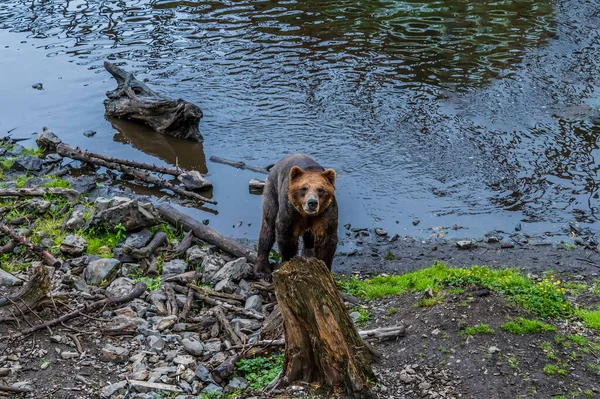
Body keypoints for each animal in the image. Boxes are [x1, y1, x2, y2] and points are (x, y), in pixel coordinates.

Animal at [253, 154, 338, 282]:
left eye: (320, 189)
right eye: (304, 188)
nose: (312, 202)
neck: (306, 214)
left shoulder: (326, 213)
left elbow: (327, 240)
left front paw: (325, 268)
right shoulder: (290, 212)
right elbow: (286, 236)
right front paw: (288, 262)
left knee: (309, 237)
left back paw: (308, 255)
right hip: (272, 191)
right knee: (268, 226)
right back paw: (262, 270)